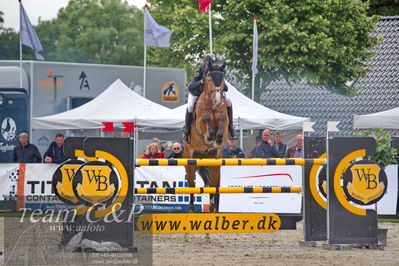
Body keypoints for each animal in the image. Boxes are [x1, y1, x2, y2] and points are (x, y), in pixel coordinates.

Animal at [184, 60, 228, 212]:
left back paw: (213, 207)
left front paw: (217, 139)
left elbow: (222, 122)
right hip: (190, 165)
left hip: (213, 167)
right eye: (209, 79)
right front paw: (210, 137)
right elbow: (206, 118)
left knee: (212, 186)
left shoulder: (224, 119)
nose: (218, 100)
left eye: (222, 79)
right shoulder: (200, 123)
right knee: (191, 186)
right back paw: (191, 208)